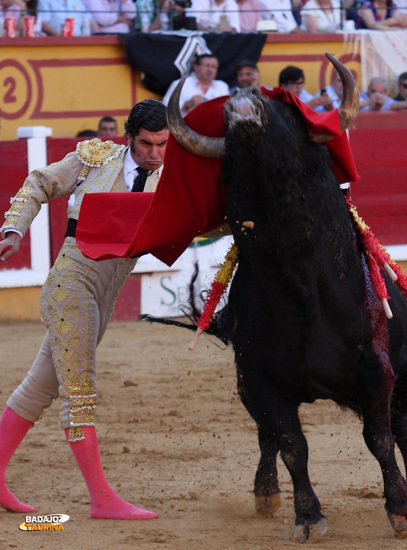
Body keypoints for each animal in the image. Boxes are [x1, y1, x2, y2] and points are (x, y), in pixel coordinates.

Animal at [143, 57, 407, 544]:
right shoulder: (257, 378)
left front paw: (399, 510)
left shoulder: (377, 369)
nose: (244, 98)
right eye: (230, 149)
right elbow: (290, 444)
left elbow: (379, 438)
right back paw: (265, 493)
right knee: (268, 437)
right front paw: (308, 516)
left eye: (288, 117)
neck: (299, 285)